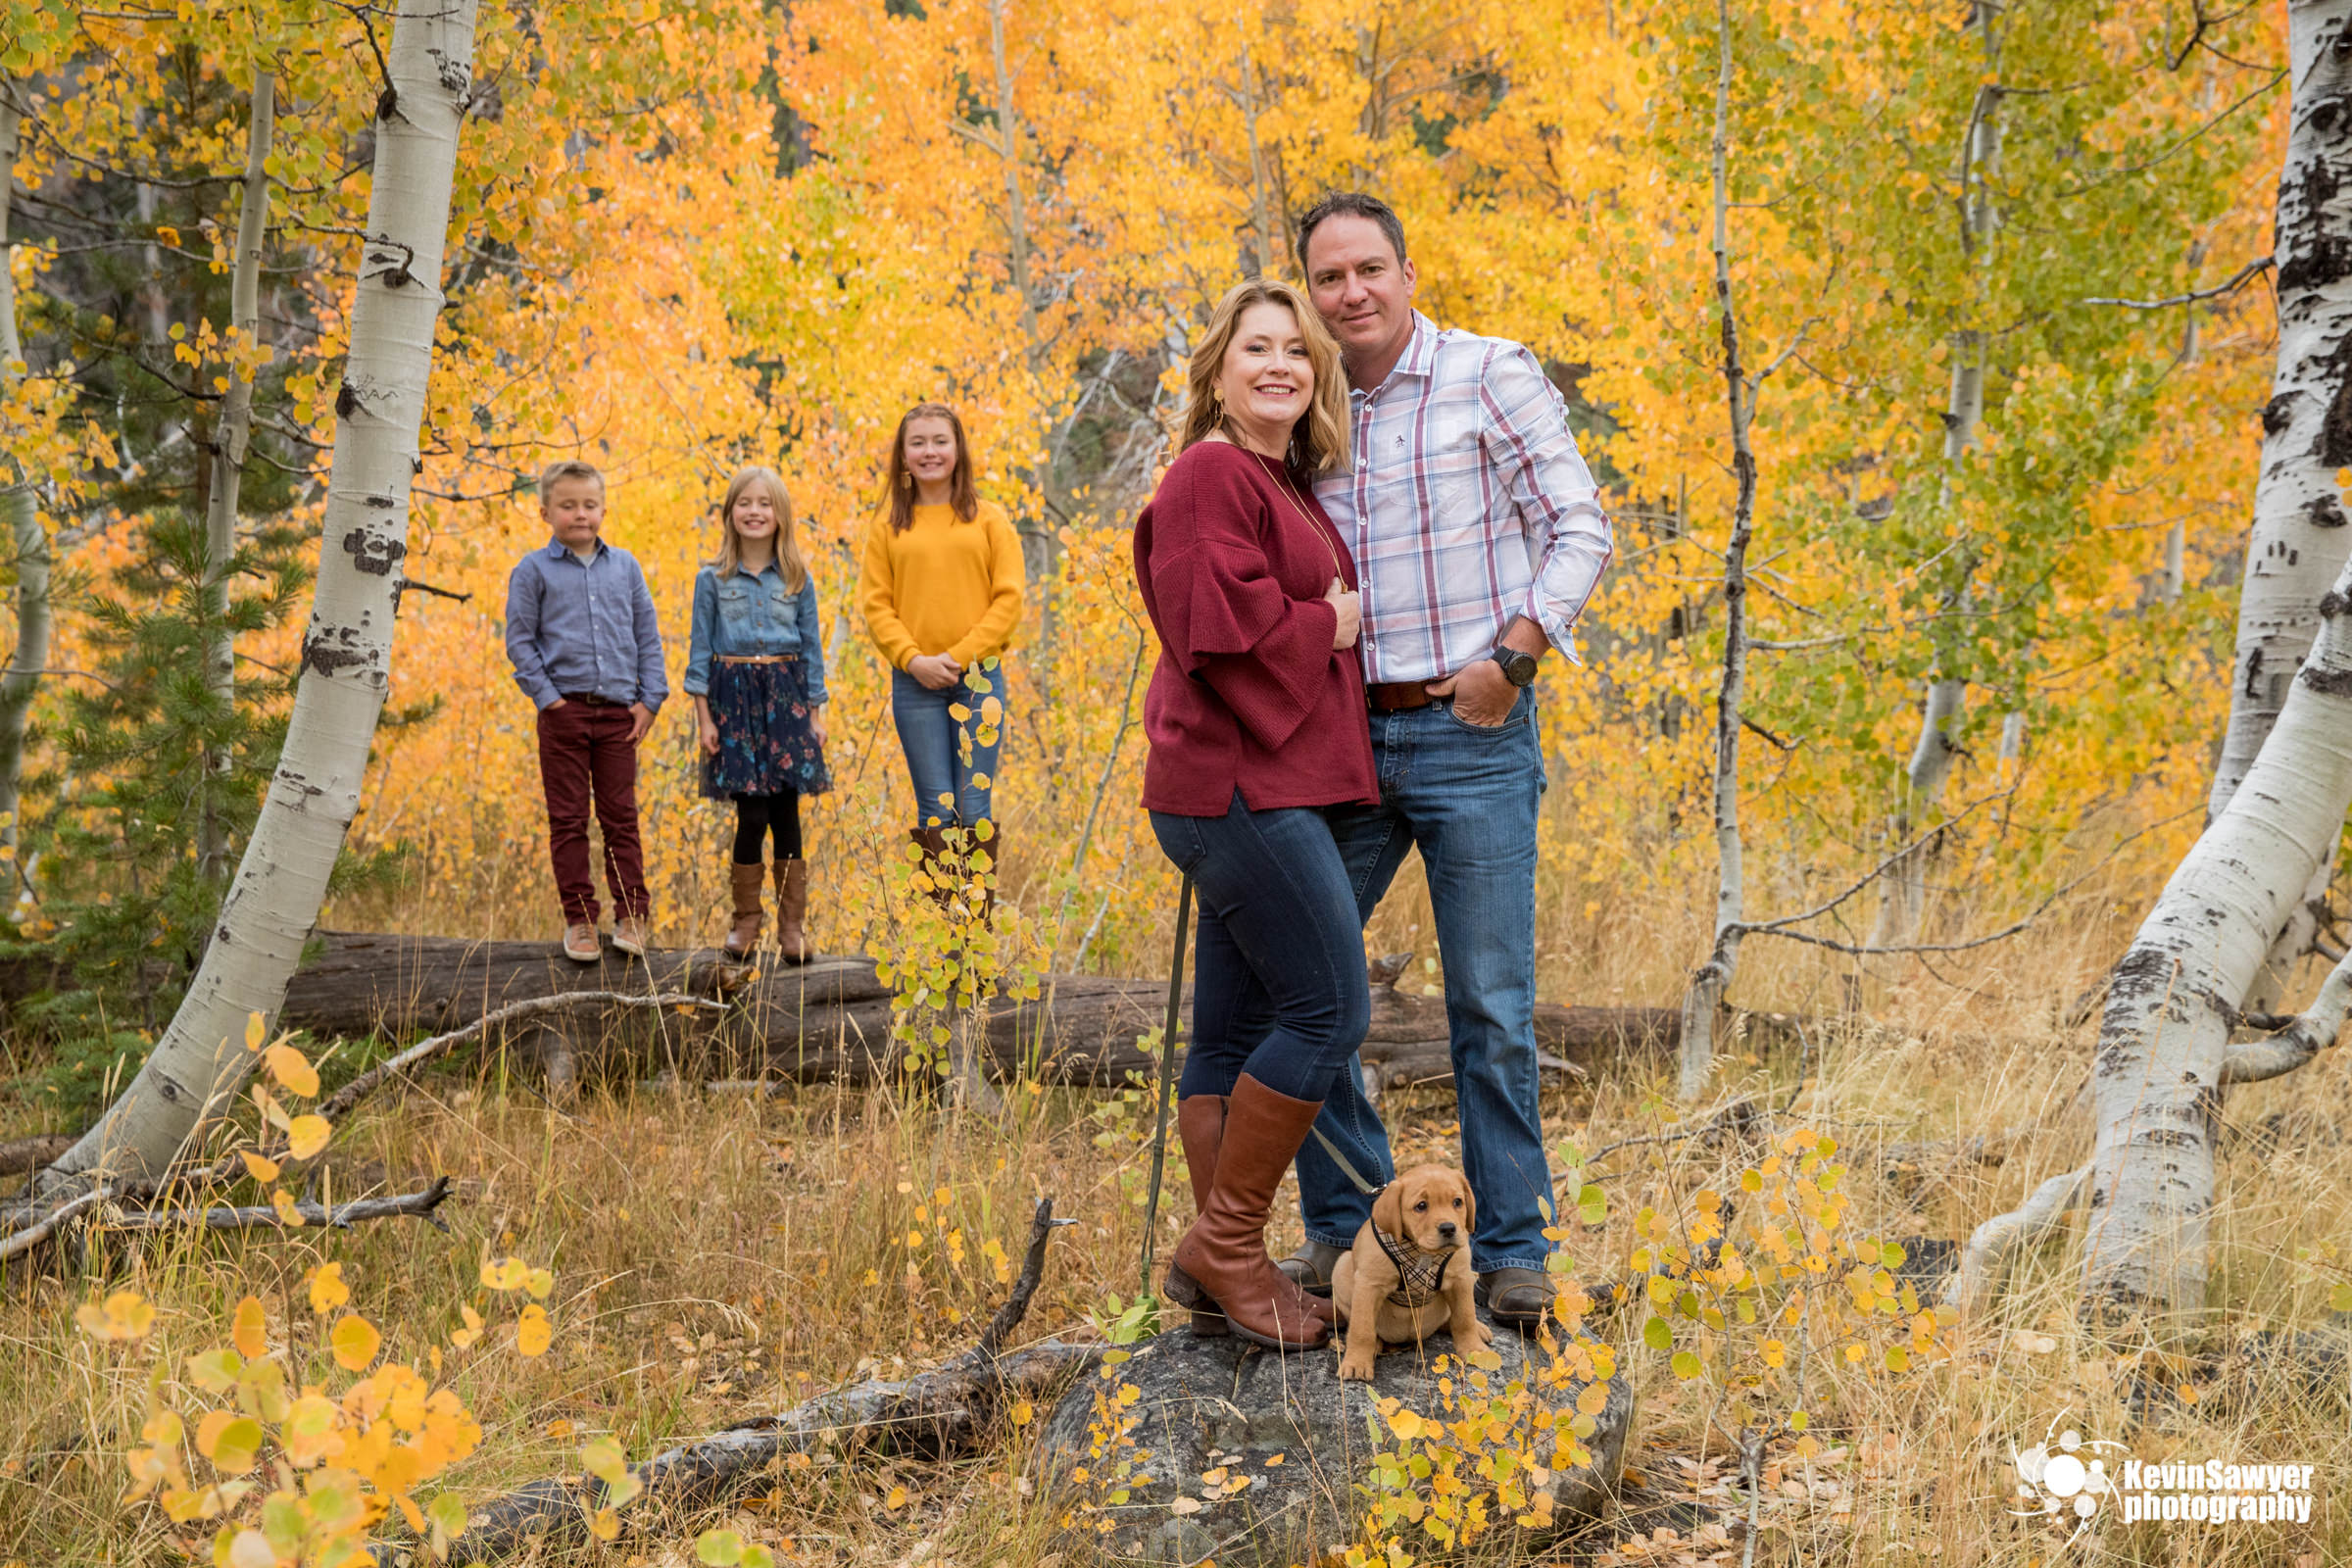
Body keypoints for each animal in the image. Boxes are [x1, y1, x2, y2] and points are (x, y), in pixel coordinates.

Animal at [1345, 1161, 1486, 1382]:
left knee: (1451, 1318)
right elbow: (1362, 1328)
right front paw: (1356, 1361)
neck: (1422, 1253)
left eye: (1457, 1202)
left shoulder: (1461, 1279)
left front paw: (1474, 1350)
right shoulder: (1368, 1284)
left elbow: (1465, 1317)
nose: (1448, 1228)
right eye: (1421, 1206)